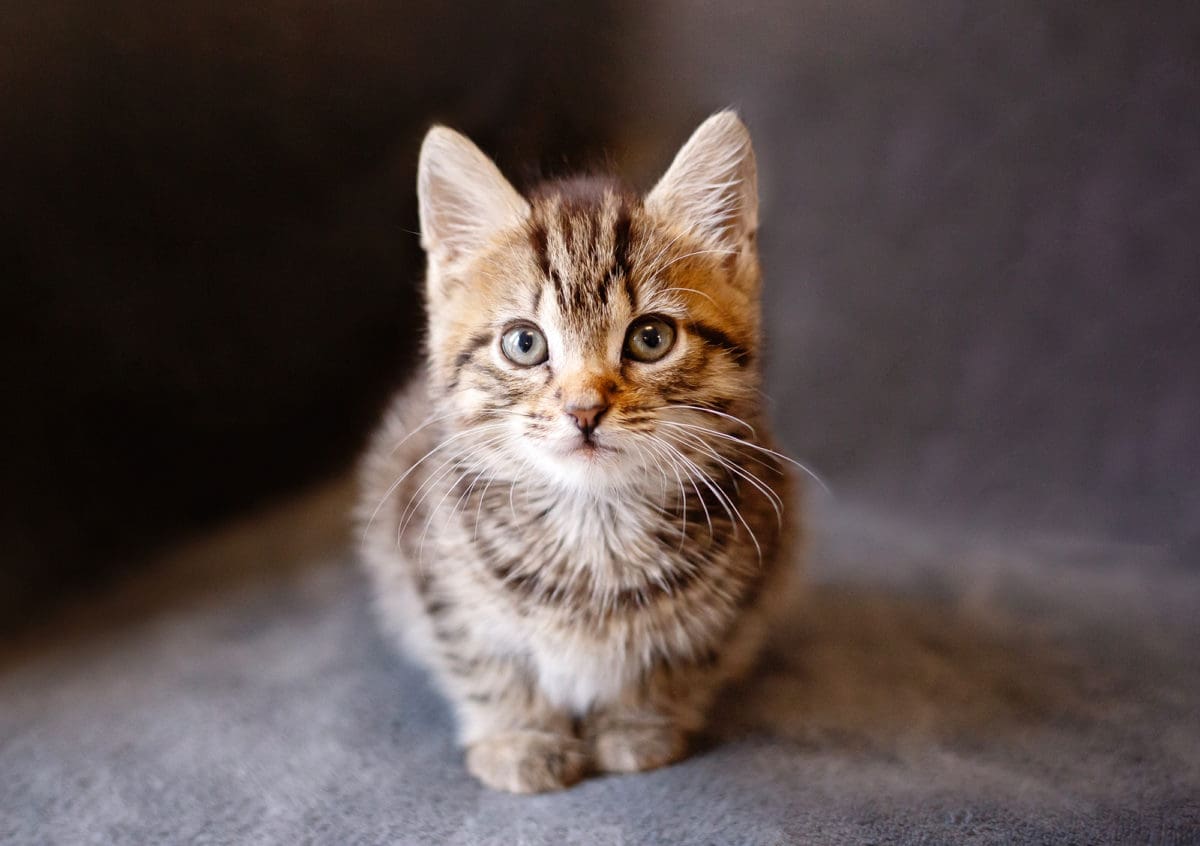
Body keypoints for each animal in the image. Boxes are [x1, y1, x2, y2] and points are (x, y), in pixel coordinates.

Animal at [360, 112, 801, 792]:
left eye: (651, 338)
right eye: (524, 343)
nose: (584, 409)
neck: (594, 522)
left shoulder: (747, 574)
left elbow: (677, 658)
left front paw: (637, 727)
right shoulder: (432, 568)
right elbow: (486, 661)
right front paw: (521, 737)